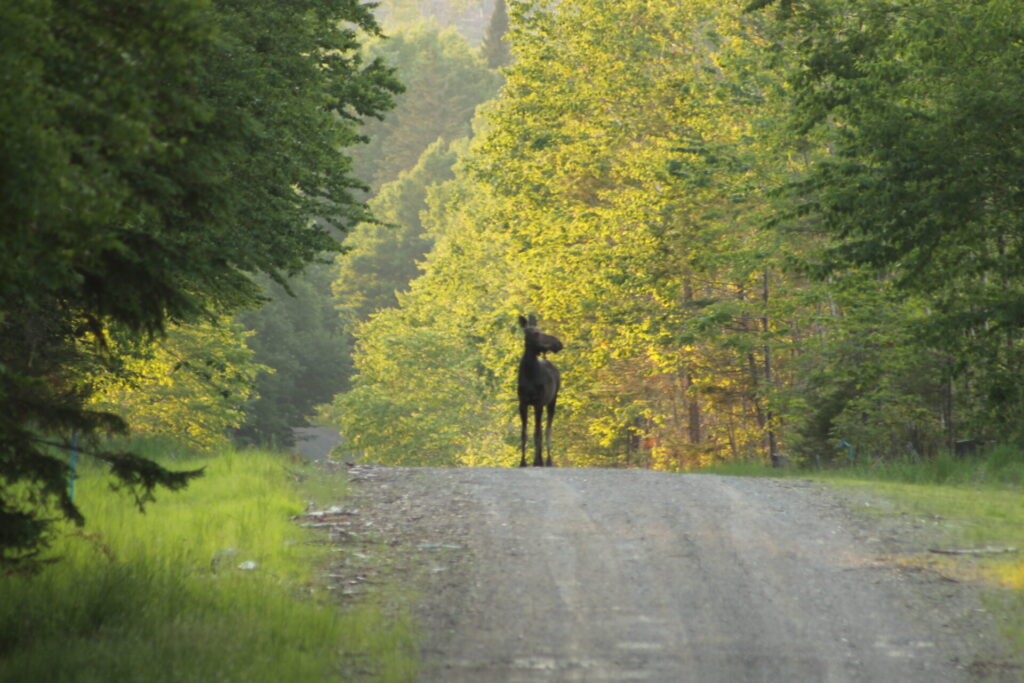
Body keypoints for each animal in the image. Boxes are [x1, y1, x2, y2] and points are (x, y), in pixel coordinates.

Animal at [516, 317, 565, 466]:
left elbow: (537, 433)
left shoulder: (538, 402)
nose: (558, 343)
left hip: (552, 401)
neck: (529, 373)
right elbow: (524, 433)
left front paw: (537, 461)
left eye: (541, 330)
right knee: (543, 429)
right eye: (535, 333)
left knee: (547, 429)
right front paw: (523, 462)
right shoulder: (523, 403)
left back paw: (548, 460)